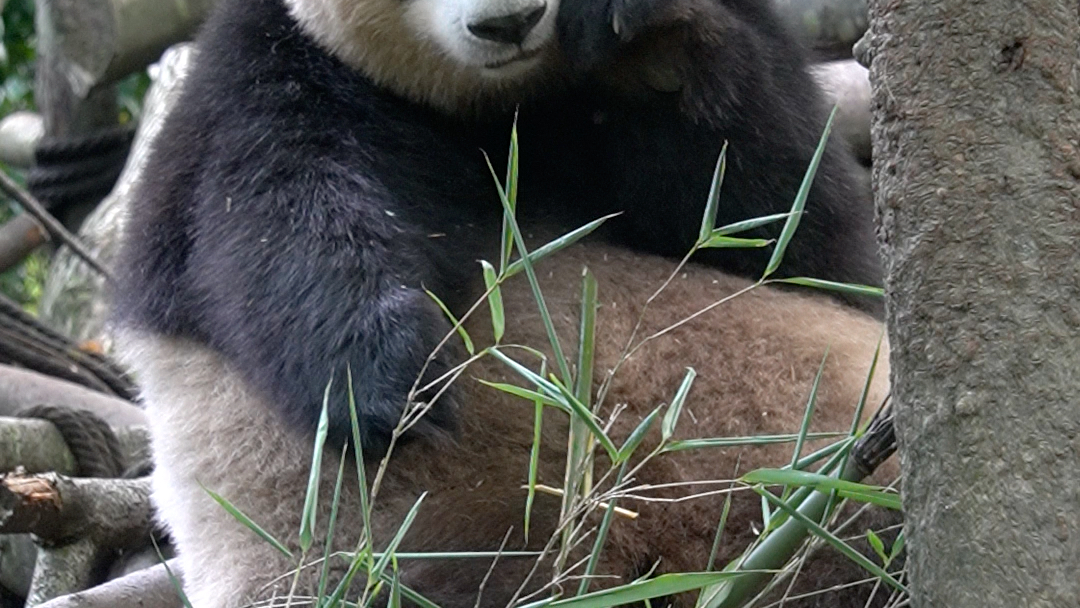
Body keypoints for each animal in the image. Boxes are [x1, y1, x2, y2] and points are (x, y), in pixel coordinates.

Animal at [113, 0, 881, 460]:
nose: (509, 21)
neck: (496, 102)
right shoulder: (280, 73)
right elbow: (279, 207)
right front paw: (391, 380)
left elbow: (791, 228)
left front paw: (650, 44)